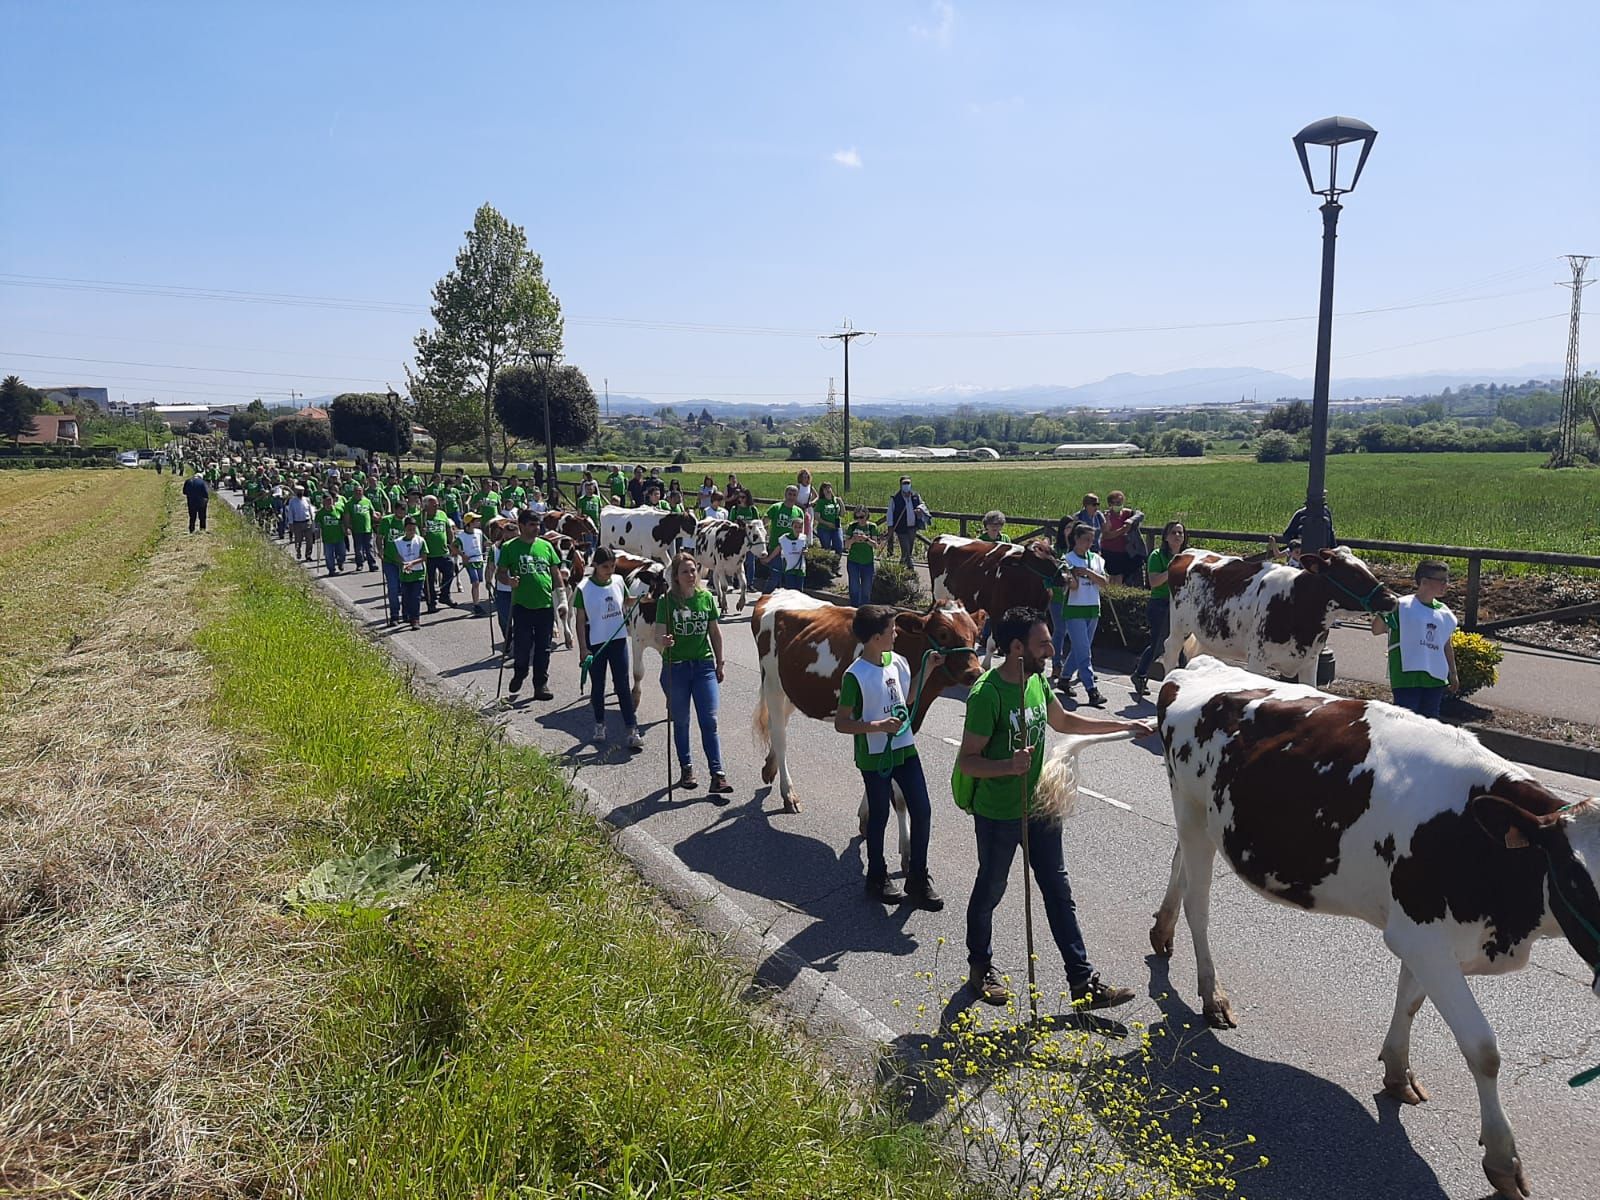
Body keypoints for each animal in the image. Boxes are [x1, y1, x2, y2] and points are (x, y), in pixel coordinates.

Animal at [748, 588, 985, 825]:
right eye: (943, 633)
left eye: (976, 633)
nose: (975, 672)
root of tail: (775, 593)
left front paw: (866, 815)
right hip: (772, 683)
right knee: (780, 735)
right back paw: (789, 794)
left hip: (791, 687)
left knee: (779, 723)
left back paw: (769, 768)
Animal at [921, 534, 1068, 668]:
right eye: (1036, 560)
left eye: (1053, 553)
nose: (1064, 576)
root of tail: (941, 536)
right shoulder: (997, 612)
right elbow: (993, 643)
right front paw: (986, 666)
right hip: (939, 595)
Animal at [1158, 659, 1593, 1200]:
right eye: (1575, 876)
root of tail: (1201, 665)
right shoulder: (1423, 937)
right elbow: (1484, 1049)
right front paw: (1503, 1160)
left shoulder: (1423, 932)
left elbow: (1410, 1000)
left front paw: (1397, 1072)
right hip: (1191, 808)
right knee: (1198, 903)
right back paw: (1211, 995)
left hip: (1199, 820)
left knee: (1178, 865)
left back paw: (1161, 933)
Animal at [1164, 544, 1401, 684]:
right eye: (1352, 574)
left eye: (1366, 568)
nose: (1392, 599)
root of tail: (1187, 552)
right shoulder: (1257, 659)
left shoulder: (1310, 661)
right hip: (1179, 625)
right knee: (1171, 650)